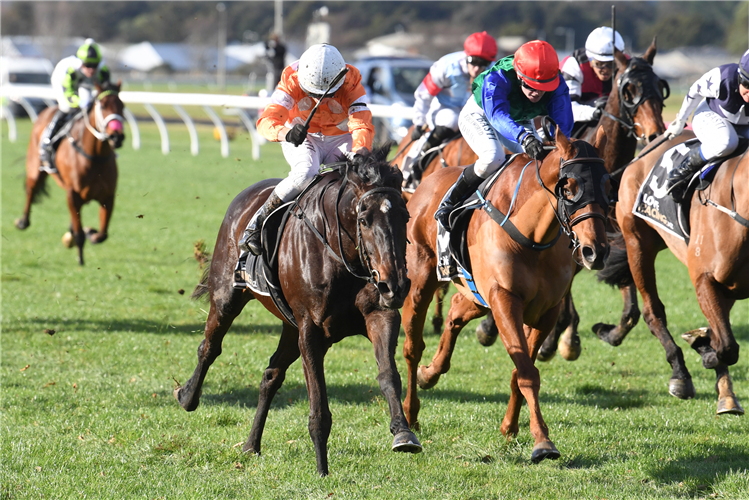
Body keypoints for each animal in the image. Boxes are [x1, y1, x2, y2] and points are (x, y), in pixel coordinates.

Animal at [14, 83, 124, 266]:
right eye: (103, 106)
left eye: (122, 106)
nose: (117, 137)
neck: (95, 156)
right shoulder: (73, 194)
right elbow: (80, 234)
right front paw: (80, 260)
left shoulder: (108, 197)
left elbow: (102, 234)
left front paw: (91, 233)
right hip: (36, 167)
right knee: (31, 189)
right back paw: (23, 221)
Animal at [175, 146, 420, 476]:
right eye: (364, 219)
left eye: (405, 215)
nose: (396, 285)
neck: (341, 257)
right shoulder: (311, 330)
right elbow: (318, 401)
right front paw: (322, 468)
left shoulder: (379, 315)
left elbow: (388, 374)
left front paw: (403, 432)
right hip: (228, 296)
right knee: (209, 347)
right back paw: (187, 396)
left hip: (290, 326)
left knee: (271, 375)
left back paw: (251, 444)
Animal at [400, 128, 612, 460]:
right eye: (570, 187)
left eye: (606, 185)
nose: (596, 251)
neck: (534, 237)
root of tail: (425, 184)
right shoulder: (504, 300)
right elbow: (526, 372)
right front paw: (543, 442)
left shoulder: (546, 311)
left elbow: (522, 370)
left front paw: (511, 427)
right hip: (421, 283)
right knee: (412, 347)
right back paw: (410, 414)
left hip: (477, 296)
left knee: (455, 311)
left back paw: (430, 372)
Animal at [592, 130, 744, 414]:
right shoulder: (704, 278)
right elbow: (727, 346)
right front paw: (704, 351)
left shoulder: (724, 286)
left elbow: (722, 336)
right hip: (638, 242)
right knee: (652, 312)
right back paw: (680, 374)